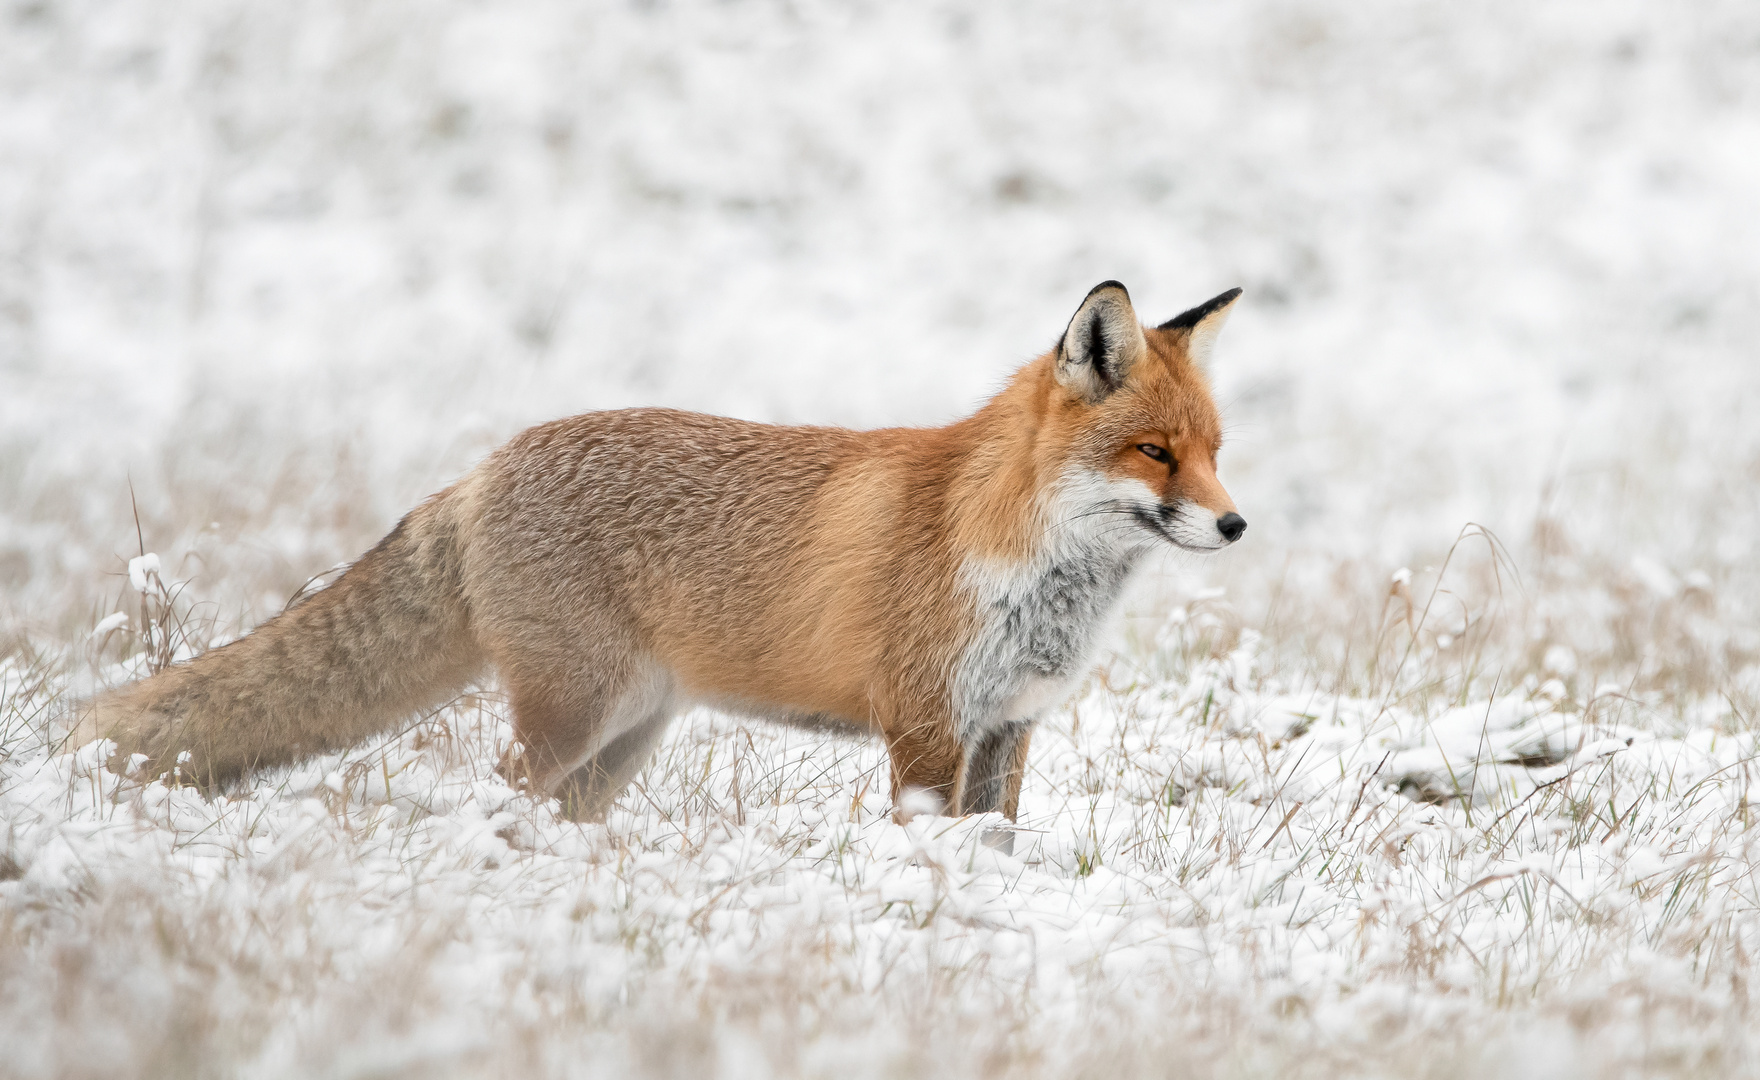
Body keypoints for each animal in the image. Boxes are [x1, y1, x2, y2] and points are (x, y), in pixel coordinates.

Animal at [75, 283, 1246, 826]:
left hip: (623, 739)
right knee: (496, 791)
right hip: (573, 718)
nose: (1236, 527)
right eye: (1153, 453)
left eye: (1216, 453)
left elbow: (994, 845)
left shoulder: (1005, 728)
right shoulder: (923, 727)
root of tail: (483, 470)